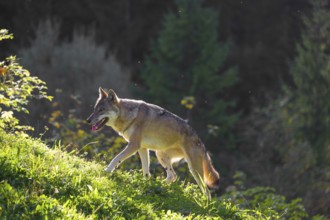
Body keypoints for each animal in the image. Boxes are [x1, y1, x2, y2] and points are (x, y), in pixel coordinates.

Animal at [87, 88, 219, 199]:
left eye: (101, 110)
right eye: (94, 109)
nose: (88, 120)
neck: (129, 115)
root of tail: (201, 143)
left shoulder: (133, 145)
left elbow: (115, 159)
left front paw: (106, 171)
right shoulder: (142, 148)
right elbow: (146, 171)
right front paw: (145, 184)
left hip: (193, 170)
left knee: (206, 191)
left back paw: (205, 205)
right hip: (160, 155)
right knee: (173, 176)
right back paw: (159, 186)